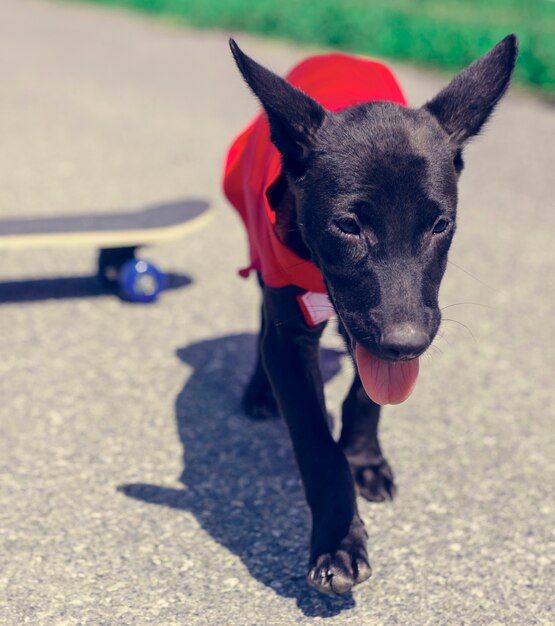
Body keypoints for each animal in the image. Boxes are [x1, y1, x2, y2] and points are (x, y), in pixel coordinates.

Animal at [225, 36, 516, 592]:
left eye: (440, 224)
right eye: (347, 225)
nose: (406, 343)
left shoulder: (389, 324)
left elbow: (368, 393)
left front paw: (363, 458)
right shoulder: (294, 331)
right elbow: (317, 443)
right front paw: (338, 543)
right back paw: (256, 391)